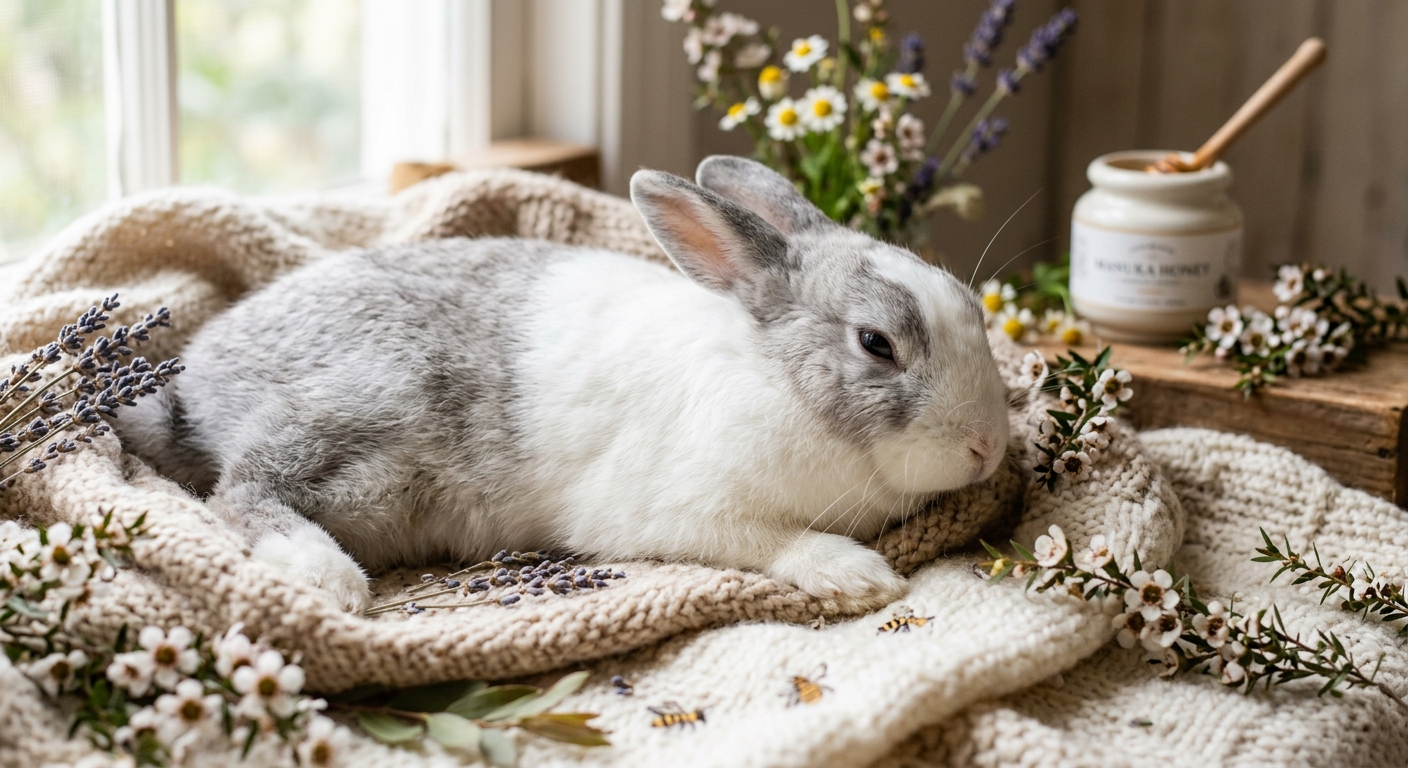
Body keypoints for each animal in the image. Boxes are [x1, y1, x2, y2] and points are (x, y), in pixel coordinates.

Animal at [118, 156, 1010, 614]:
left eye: (973, 309)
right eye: (876, 344)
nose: (988, 449)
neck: (777, 377)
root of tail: (193, 386)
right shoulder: (685, 513)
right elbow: (772, 543)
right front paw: (860, 576)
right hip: (355, 421)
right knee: (241, 490)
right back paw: (325, 577)